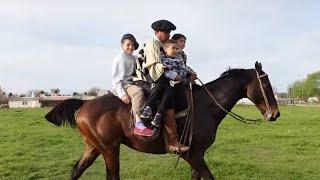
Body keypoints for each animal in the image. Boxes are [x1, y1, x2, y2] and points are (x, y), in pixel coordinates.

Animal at [45, 62, 280, 180]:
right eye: (265, 84)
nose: (275, 114)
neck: (205, 106)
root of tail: (85, 104)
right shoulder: (192, 154)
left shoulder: (197, 155)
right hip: (110, 149)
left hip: (94, 147)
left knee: (77, 170)